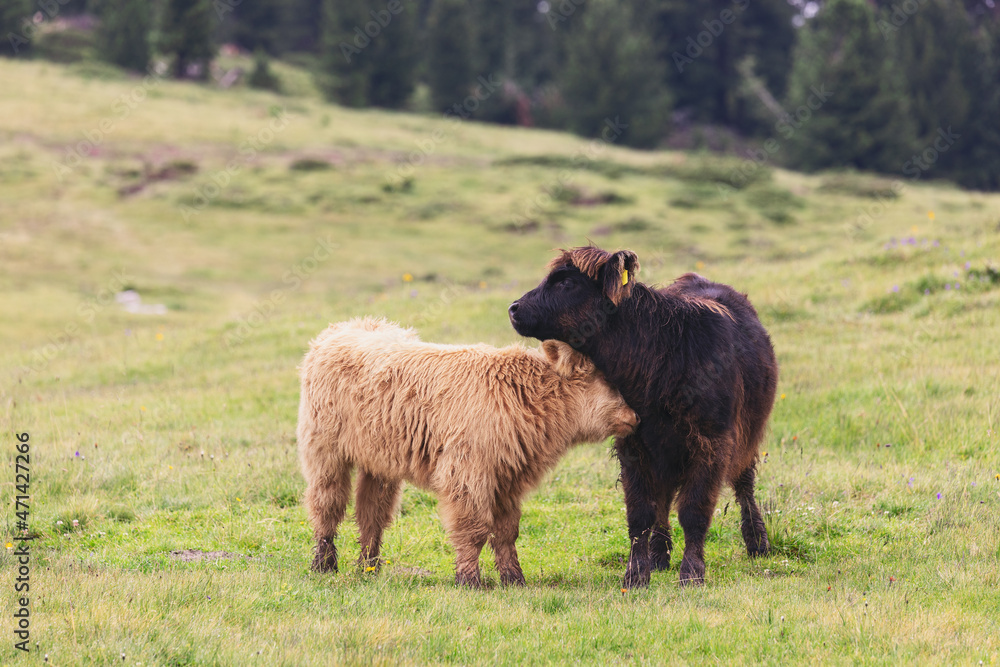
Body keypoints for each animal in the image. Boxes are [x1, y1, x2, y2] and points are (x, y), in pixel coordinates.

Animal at [298, 318, 640, 584]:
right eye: (607, 379)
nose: (635, 415)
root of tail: (346, 327)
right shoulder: (466, 474)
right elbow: (473, 530)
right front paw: (469, 578)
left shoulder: (507, 480)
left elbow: (506, 532)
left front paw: (514, 578)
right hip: (325, 453)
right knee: (326, 507)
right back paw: (324, 564)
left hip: (379, 463)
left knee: (371, 515)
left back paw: (368, 568)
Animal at [508, 248, 780, 588]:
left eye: (566, 282)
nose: (514, 308)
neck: (662, 357)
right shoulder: (633, 445)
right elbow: (641, 513)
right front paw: (636, 573)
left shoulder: (712, 443)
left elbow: (694, 511)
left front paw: (692, 572)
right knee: (662, 500)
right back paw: (659, 554)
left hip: (746, 436)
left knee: (744, 484)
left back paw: (757, 541)